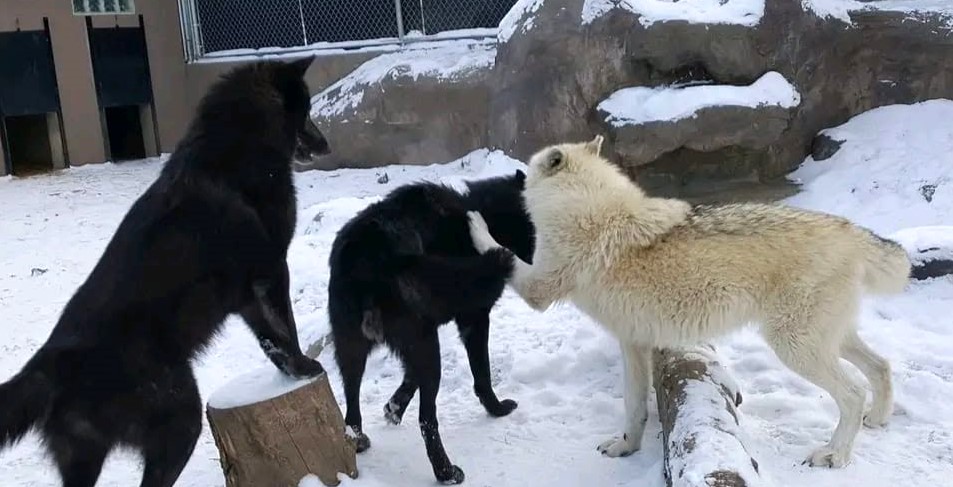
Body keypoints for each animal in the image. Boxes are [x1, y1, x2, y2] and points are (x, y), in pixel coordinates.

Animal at [0, 57, 329, 487]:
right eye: (306, 110)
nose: (326, 146)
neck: (235, 146)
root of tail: (51, 363)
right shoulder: (272, 270)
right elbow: (284, 329)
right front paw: (304, 366)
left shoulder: (246, 295)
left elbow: (269, 339)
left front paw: (291, 370)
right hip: (181, 419)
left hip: (87, 458)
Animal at [327, 171, 534, 484]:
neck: (487, 212)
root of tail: (367, 260)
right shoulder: (474, 320)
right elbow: (482, 376)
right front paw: (497, 409)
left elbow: (409, 377)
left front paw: (393, 408)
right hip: (427, 350)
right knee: (427, 420)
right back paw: (446, 472)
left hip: (353, 350)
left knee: (351, 404)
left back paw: (359, 441)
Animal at [467, 135, 910, 468]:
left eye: (529, 171)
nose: (515, 176)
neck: (590, 209)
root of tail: (851, 231)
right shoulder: (633, 343)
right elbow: (634, 406)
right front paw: (625, 447)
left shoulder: (539, 290)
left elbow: (499, 249)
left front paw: (473, 219)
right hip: (831, 340)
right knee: (882, 366)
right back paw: (878, 419)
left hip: (795, 348)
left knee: (853, 391)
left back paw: (834, 454)